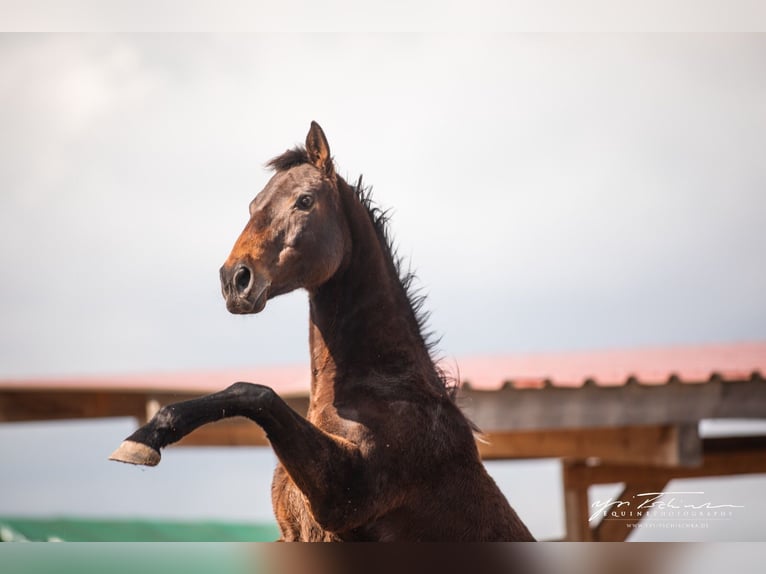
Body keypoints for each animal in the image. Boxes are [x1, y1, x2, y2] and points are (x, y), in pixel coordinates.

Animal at [111, 122, 536, 544]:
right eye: (253, 205)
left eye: (304, 200)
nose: (235, 280)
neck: (387, 387)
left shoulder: (344, 496)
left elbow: (255, 393)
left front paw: (142, 442)